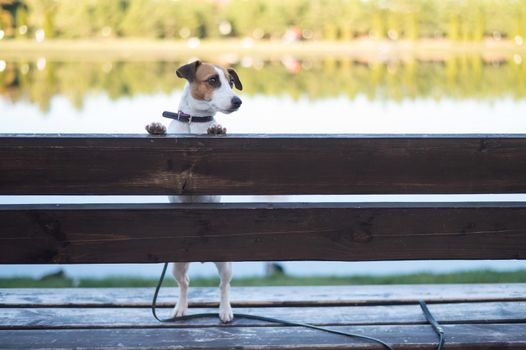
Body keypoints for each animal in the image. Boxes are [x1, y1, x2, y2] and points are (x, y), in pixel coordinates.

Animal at [163, 60, 243, 322]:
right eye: (212, 80)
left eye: (230, 82)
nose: (238, 101)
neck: (193, 123)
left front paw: (216, 130)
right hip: (176, 264)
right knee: (185, 283)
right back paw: (180, 308)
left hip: (225, 263)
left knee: (223, 285)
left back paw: (225, 310)